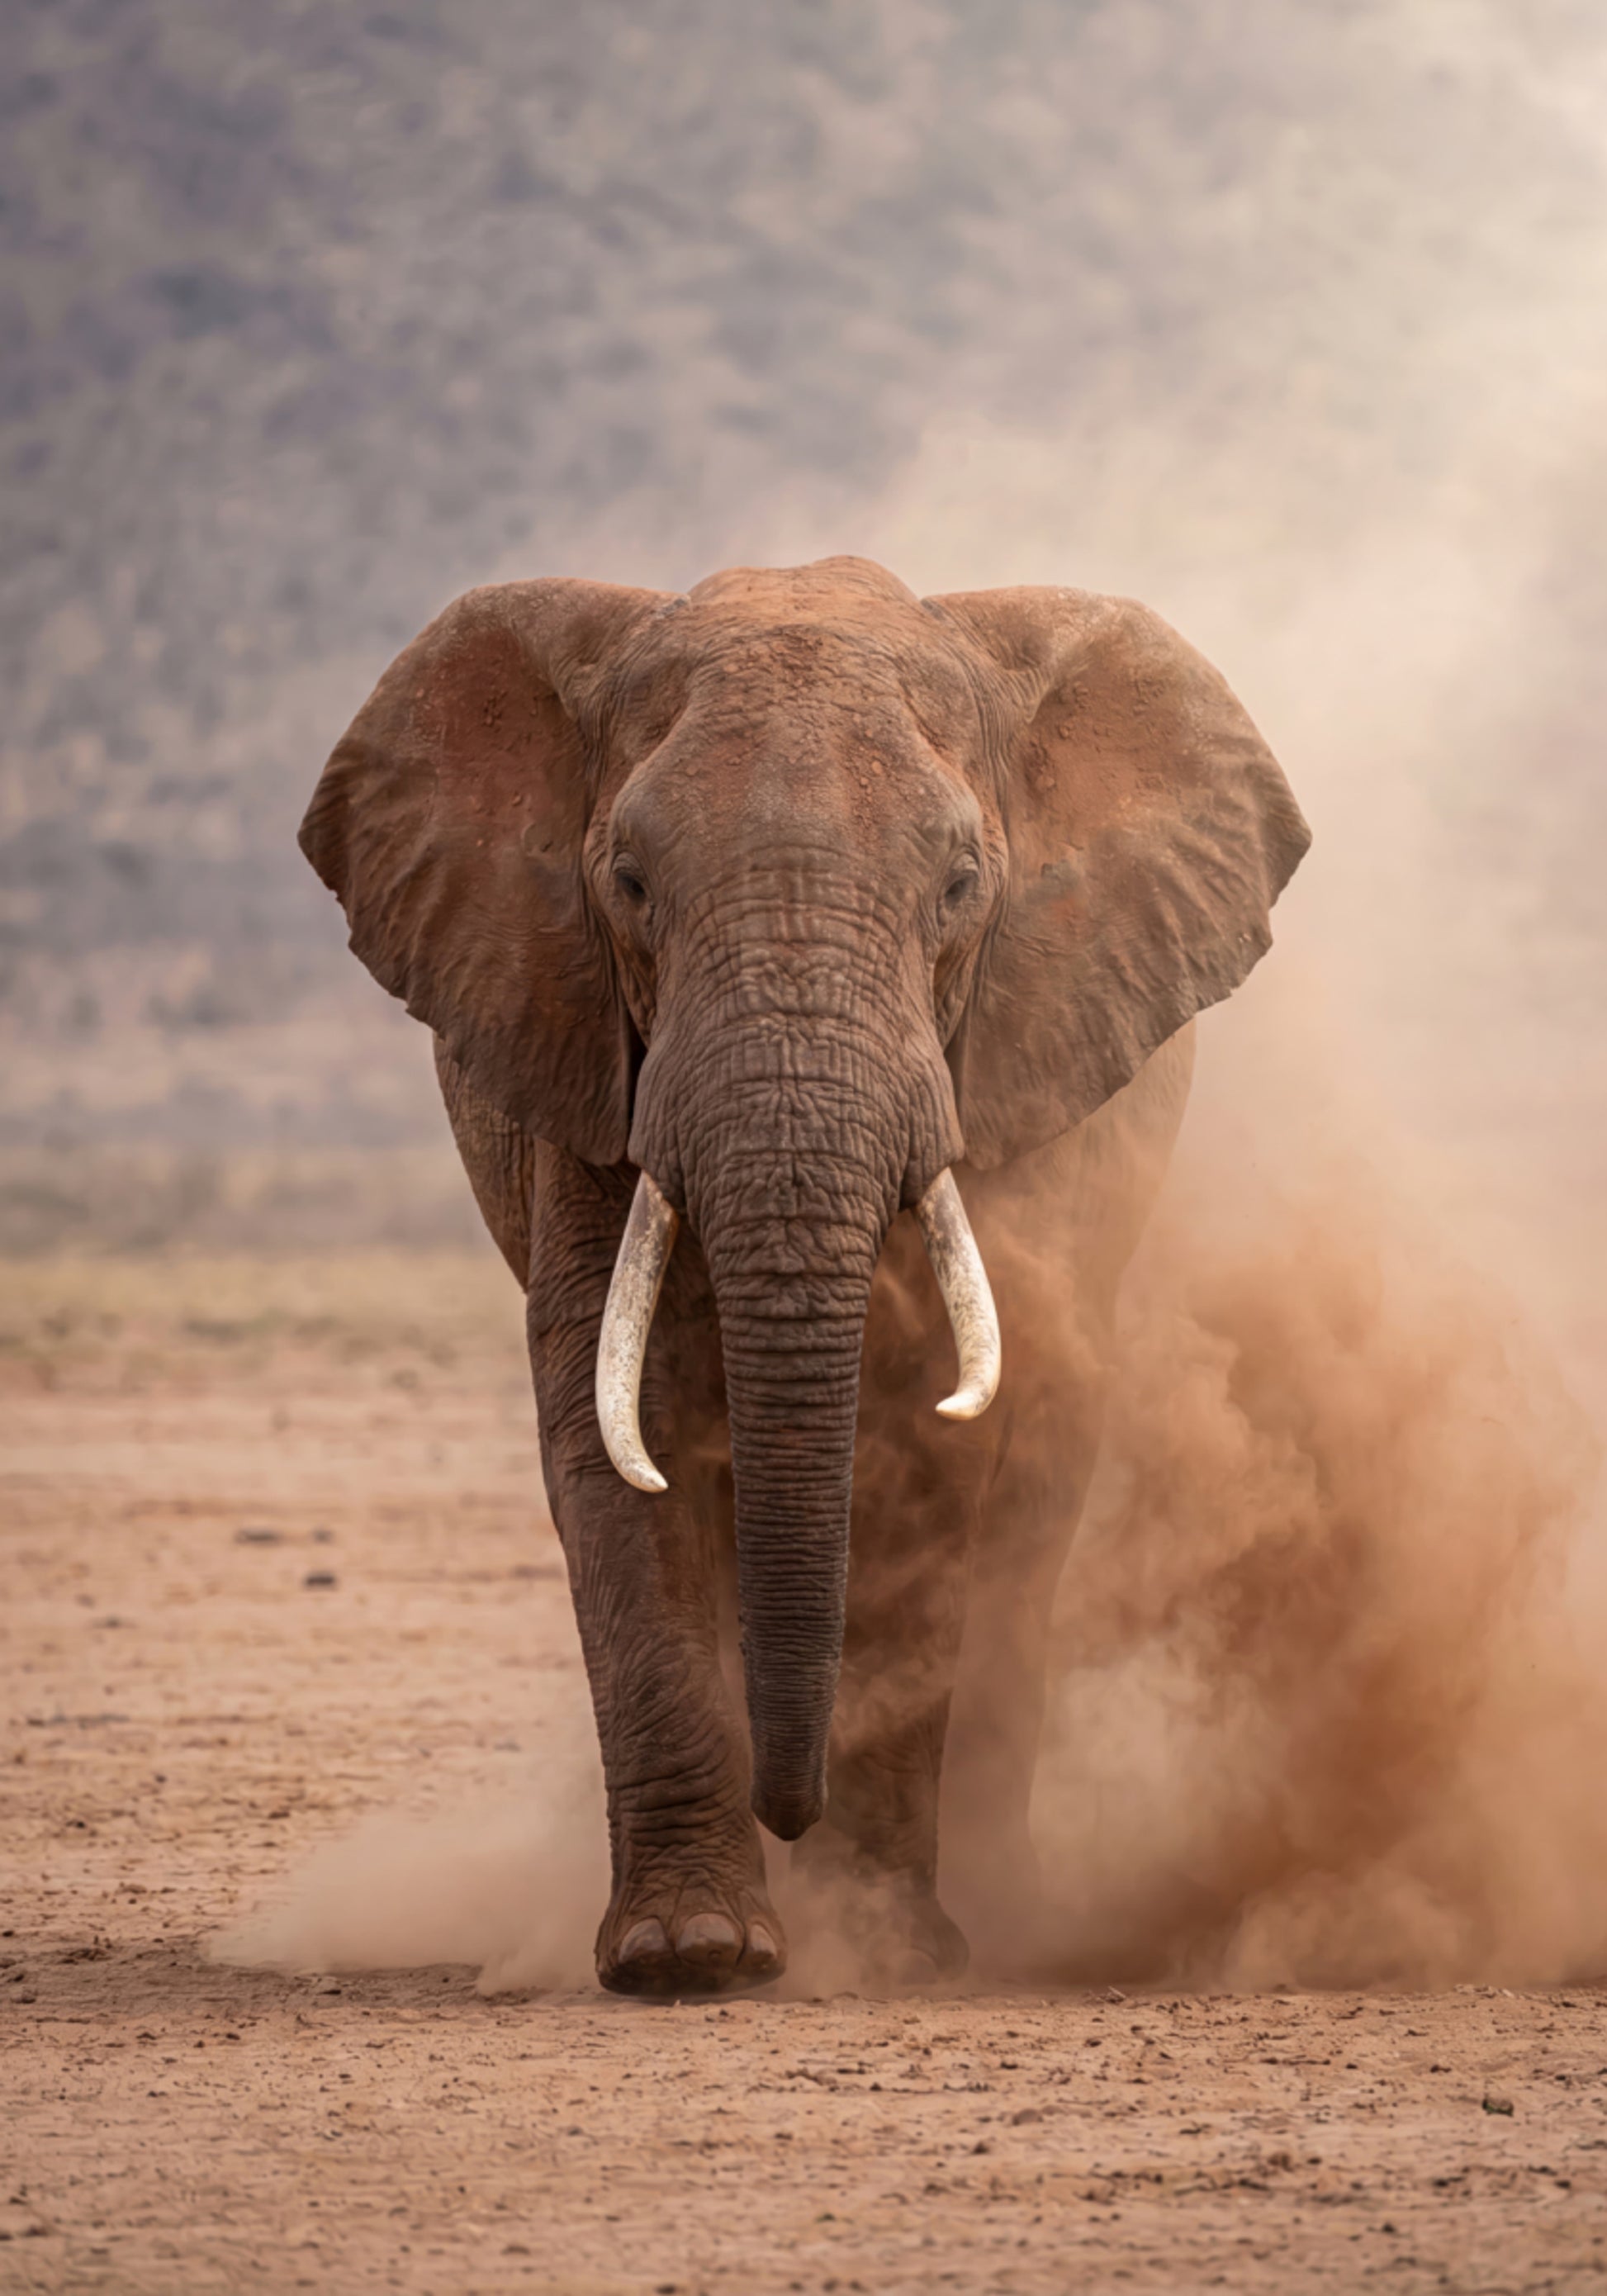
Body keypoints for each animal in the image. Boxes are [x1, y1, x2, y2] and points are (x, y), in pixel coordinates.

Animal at [299, 554, 1308, 1996]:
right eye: (627, 883)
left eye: (959, 886)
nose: (793, 1812)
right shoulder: (587, 1064)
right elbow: (620, 1434)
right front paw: (693, 1955)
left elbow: (936, 1449)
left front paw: (887, 1952)